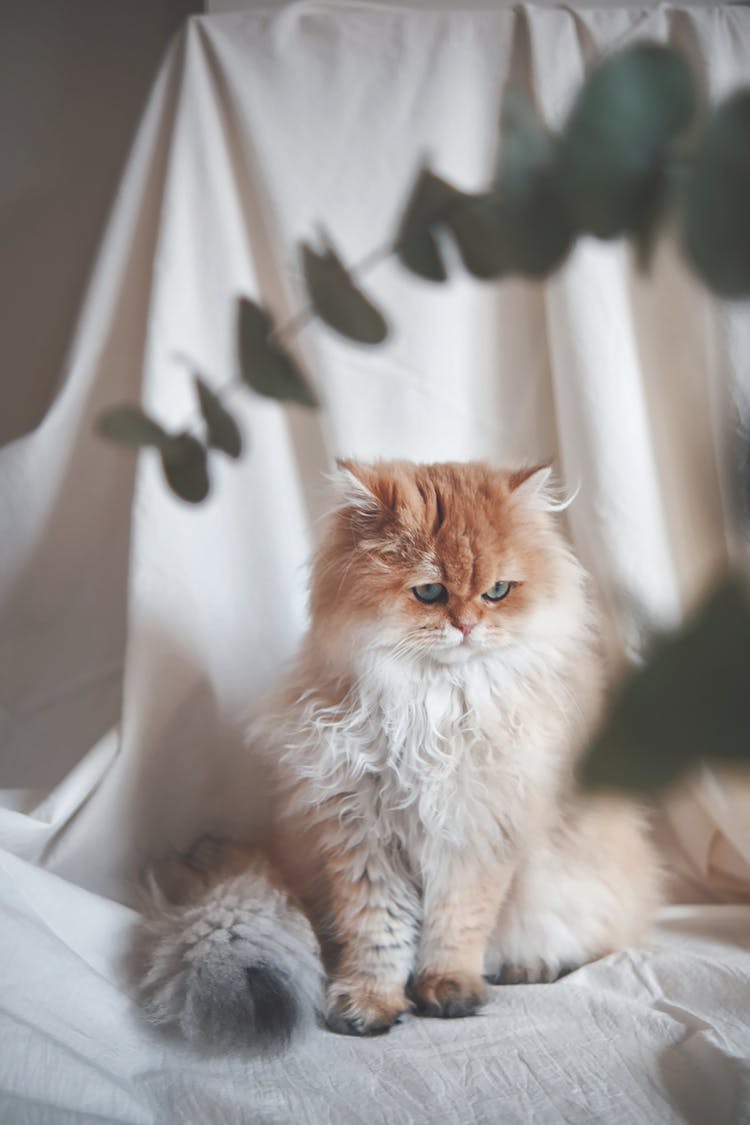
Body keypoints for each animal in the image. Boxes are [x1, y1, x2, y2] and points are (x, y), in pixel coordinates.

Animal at [137, 459, 661, 1044]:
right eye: (429, 592)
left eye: (498, 591)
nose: (467, 625)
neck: (432, 706)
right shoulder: (361, 835)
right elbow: (377, 936)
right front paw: (369, 1002)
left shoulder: (477, 836)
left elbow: (456, 928)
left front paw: (448, 989)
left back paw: (530, 965)